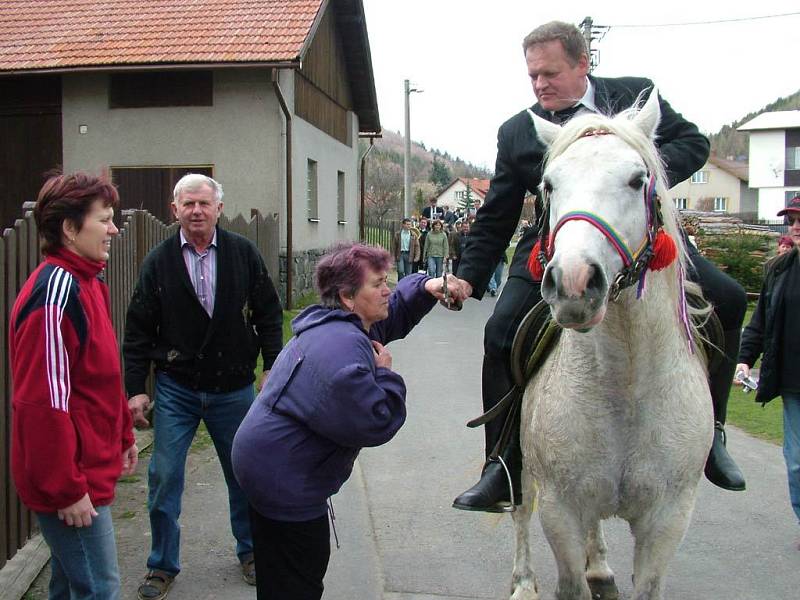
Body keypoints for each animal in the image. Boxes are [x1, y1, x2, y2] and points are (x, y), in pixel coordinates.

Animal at [506, 89, 712, 600]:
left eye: (638, 180)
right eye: (549, 185)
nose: (574, 283)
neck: (626, 380)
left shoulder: (668, 520)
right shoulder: (561, 511)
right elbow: (568, 579)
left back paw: (599, 564)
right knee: (520, 507)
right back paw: (522, 580)